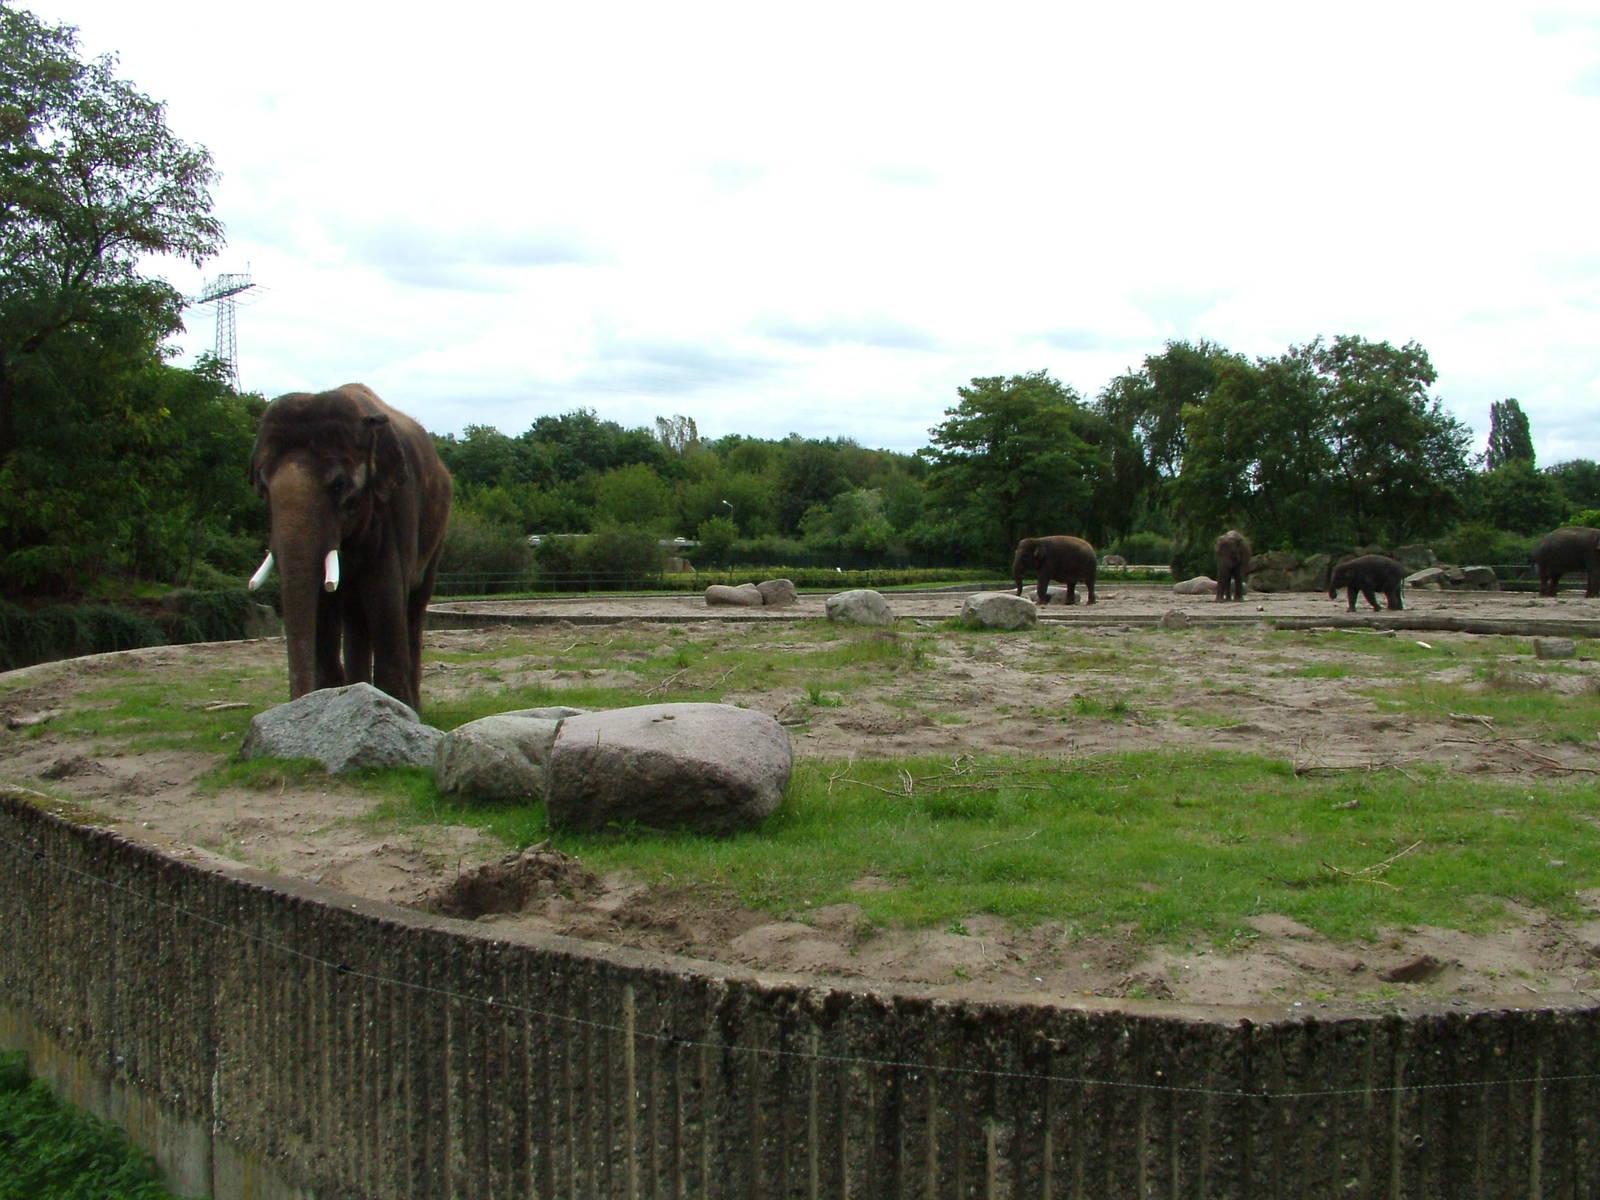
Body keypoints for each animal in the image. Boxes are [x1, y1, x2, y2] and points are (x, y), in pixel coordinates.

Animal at [247, 384, 454, 712]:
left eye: (339, 485)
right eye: (263, 490)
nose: (296, 703)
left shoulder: (396, 505)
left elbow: (385, 594)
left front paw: (400, 710)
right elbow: (323, 606)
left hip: (437, 535)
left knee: (414, 604)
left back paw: (411, 706)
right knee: (355, 614)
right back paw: (361, 691)